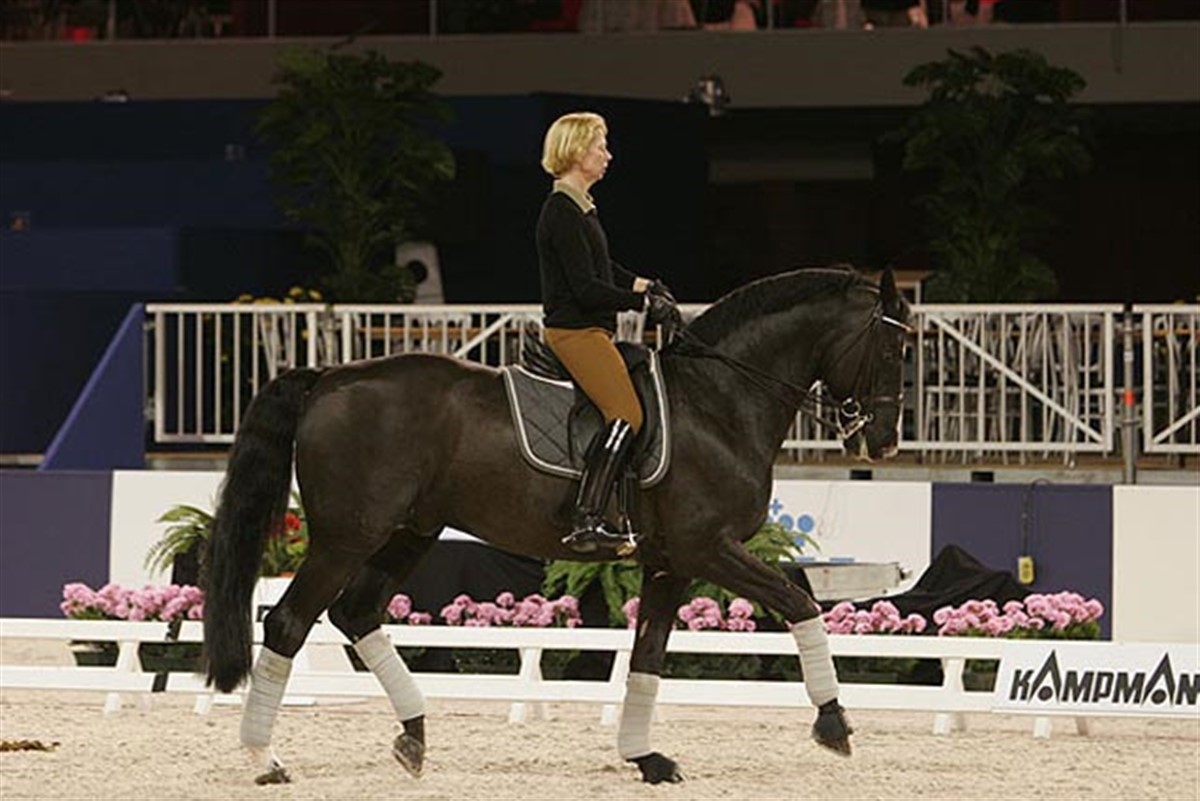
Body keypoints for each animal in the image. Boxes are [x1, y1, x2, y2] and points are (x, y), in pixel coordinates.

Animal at [201, 264, 913, 785]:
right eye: (894, 347)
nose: (883, 442)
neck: (719, 402)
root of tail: (328, 378)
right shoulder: (708, 548)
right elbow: (799, 603)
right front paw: (835, 725)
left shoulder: (671, 563)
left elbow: (648, 658)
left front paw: (645, 759)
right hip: (349, 536)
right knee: (289, 622)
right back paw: (265, 759)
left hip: (409, 531)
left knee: (356, 613)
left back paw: (414, 735)